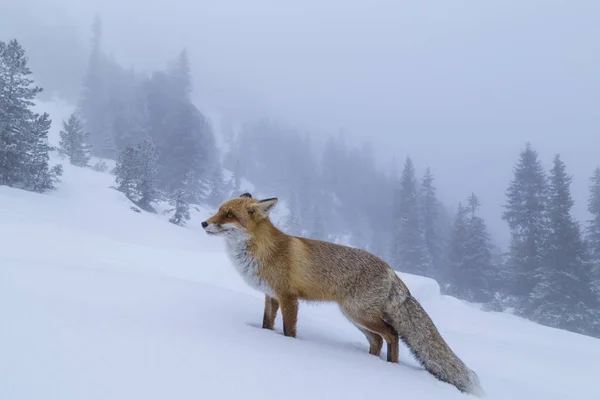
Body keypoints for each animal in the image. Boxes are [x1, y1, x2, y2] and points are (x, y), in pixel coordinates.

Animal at [204, 192, 486, 396]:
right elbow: (266, 324)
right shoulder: (270, 296)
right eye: (219, 209)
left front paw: (289, 346)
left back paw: (390, 367)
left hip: (359, 314)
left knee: (392, 335)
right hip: (355, 318)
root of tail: (391, 270)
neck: (263, 251)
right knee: (378, 341)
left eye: (229, 214)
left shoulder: (288, 298)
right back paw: (369, 361)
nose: (204, 223)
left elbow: (288, 331)